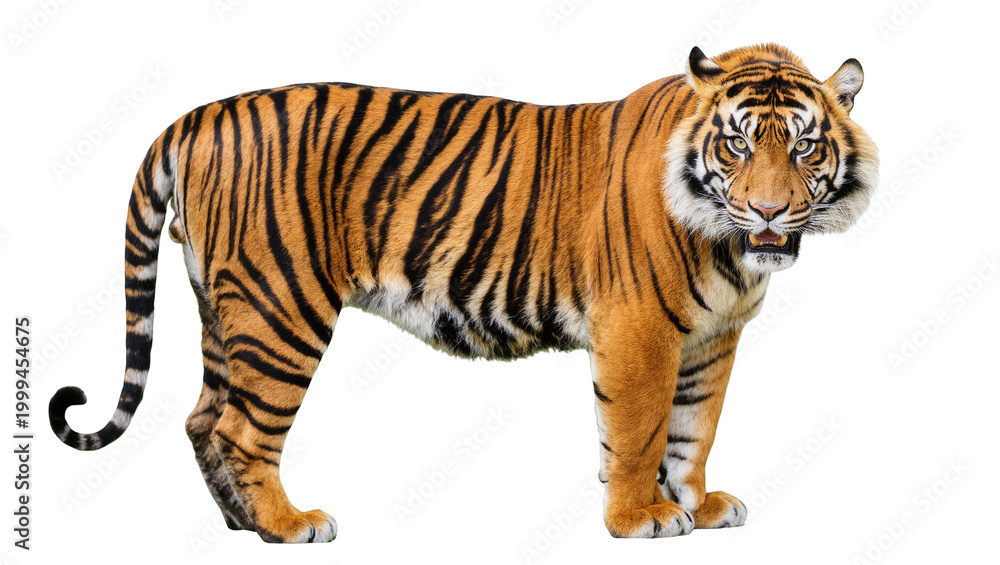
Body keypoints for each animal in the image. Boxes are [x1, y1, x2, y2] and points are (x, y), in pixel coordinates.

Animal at [49, 43, 878, 542]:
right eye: (736, 143)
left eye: (806, 146)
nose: (767, 211)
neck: (727, 248)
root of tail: (200, 114)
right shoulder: (638, 329)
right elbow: (640, 430)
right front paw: (639, 515)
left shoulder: (712, 339)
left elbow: (692, 431)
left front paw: (697, 506)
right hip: (280, 306)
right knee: (240, 428)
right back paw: (289, 525)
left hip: (222, 309)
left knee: (200, 418)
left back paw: (241, 523)